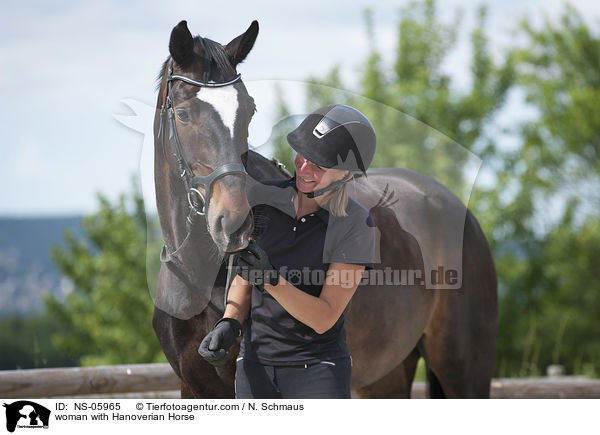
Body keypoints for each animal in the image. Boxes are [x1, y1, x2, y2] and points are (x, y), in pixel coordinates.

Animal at [152, 21, 500, 402]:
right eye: (184, 114)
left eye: (249, 110)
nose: (236, 222)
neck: (198, 272)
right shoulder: (193, 387)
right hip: (386, 376)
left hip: (464, 371)